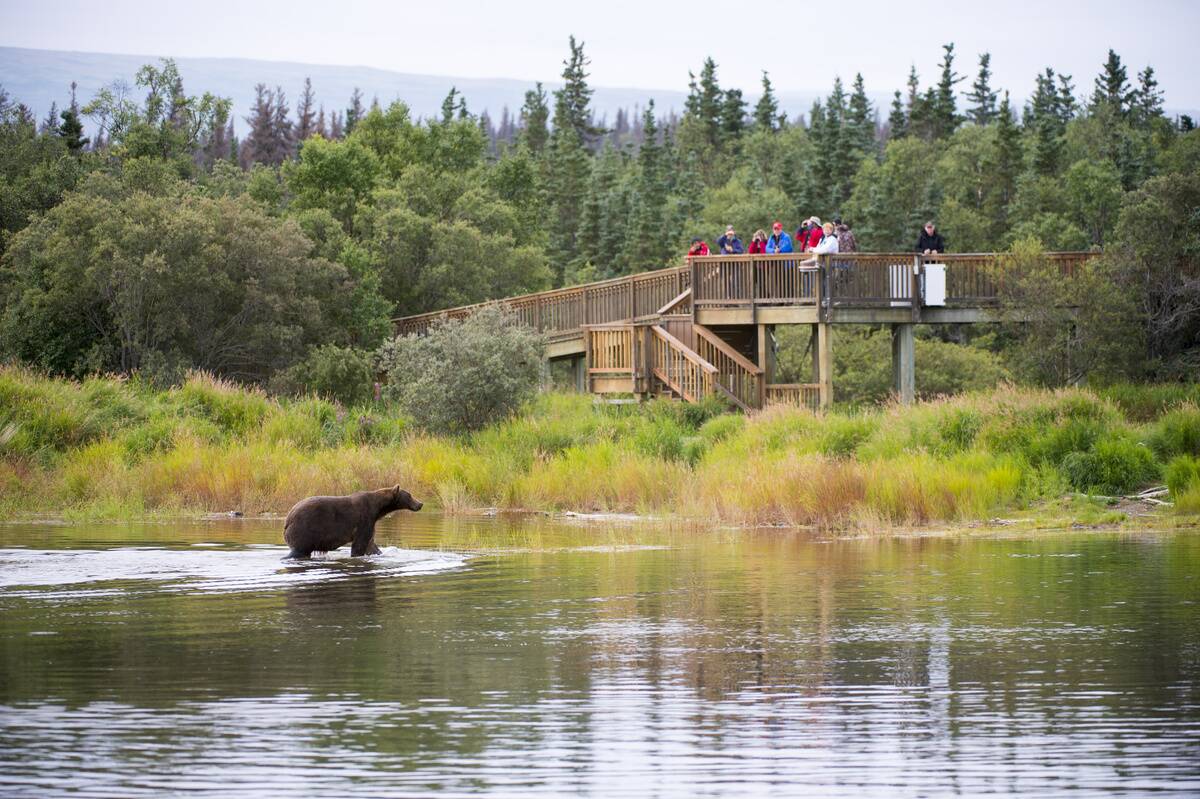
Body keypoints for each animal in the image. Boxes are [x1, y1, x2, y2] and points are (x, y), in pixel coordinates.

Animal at [283, 485, 423, 559]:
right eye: (410, 495)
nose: (420, 504)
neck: (377, 509)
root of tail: (288, 518)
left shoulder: (370, 522)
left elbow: (370, 543)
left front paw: (378, 552)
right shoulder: (364, 519)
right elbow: (359, 545)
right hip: (304, 530)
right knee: (298, 550)